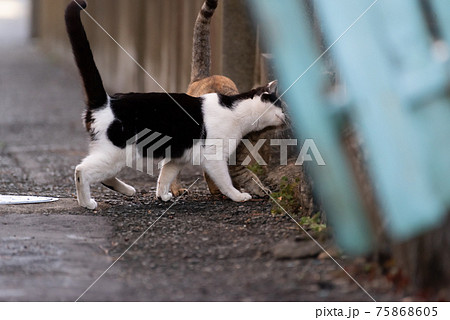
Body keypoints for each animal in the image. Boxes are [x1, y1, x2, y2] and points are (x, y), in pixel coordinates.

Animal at [65, 0, 284, 210]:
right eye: (281, 107)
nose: (286, 116)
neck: (236, 110)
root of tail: (106, 101)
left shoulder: (177, 157)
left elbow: (165, 176)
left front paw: (162, 195)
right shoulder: (214, 158)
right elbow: (225, 181)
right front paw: (238, 196)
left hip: (115, 156)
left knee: (105, 176)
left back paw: (127, 190)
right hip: (117, 153)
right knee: (81, 170)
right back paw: (87, 203)